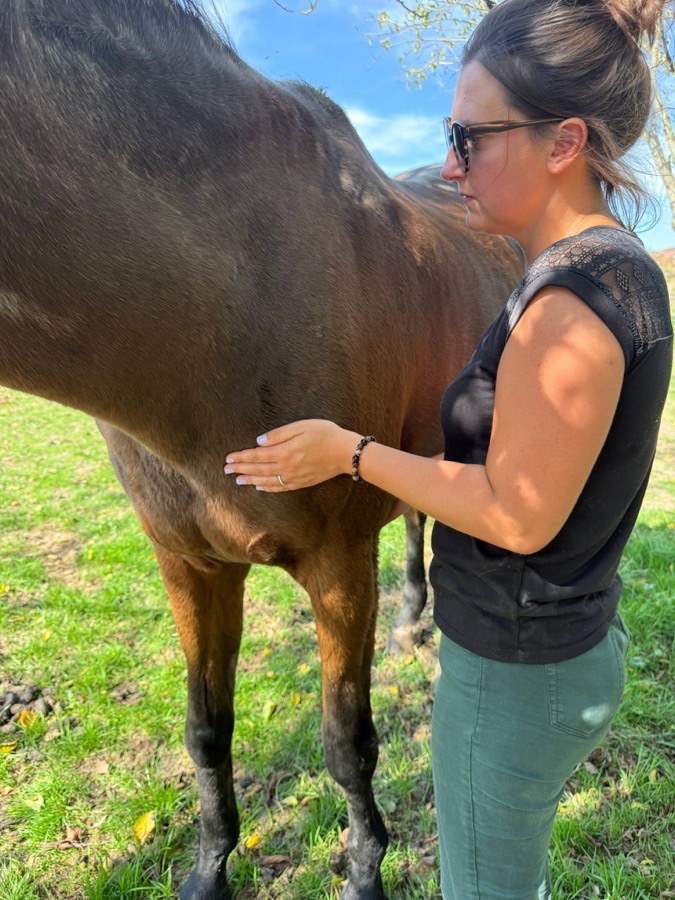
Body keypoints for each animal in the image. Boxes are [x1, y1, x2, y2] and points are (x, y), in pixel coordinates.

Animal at [0, 1, 523, 896]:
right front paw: (210, 867)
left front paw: (364, 872)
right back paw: (412, 621)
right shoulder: (190, 565)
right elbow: (205, 730)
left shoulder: (337, 565)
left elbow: (346, 743)